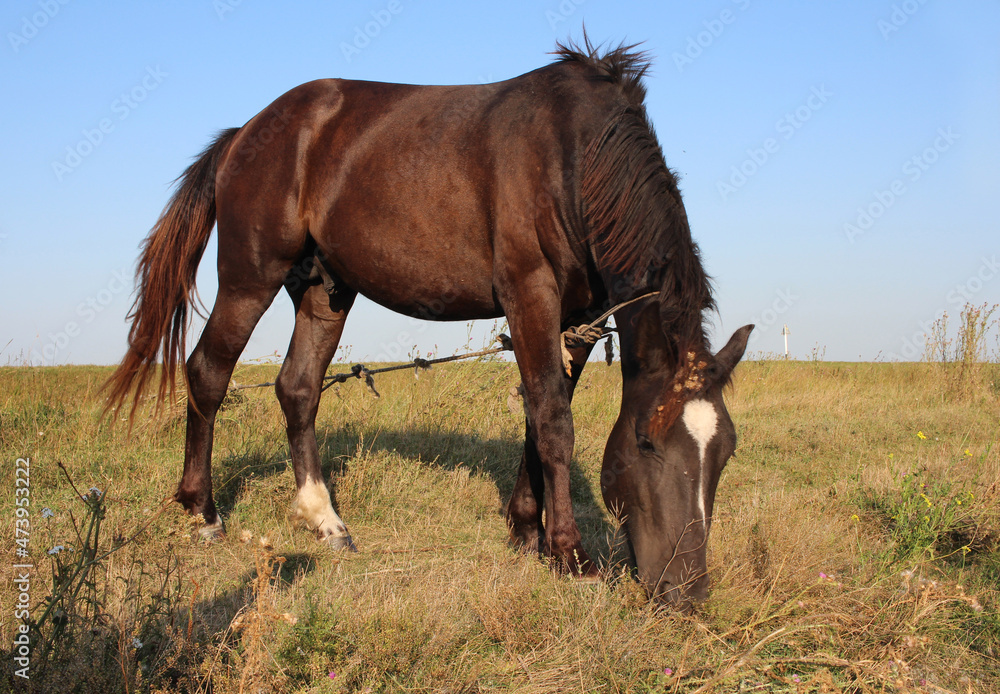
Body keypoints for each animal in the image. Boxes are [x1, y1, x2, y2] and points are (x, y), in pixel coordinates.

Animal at [105, 38, 752, 608]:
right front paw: (569, 553)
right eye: (646, 442)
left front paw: (527, 529)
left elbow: (541, 413)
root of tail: (245, 132)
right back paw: (202, 511)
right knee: (208, 373)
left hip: (324, 292)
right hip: (249, 278)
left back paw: (325, 520)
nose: (688, 594)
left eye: (724, 452)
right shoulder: (529, 295)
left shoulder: (581, 318)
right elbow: (553, 421)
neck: (572, 156)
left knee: (298, 389)